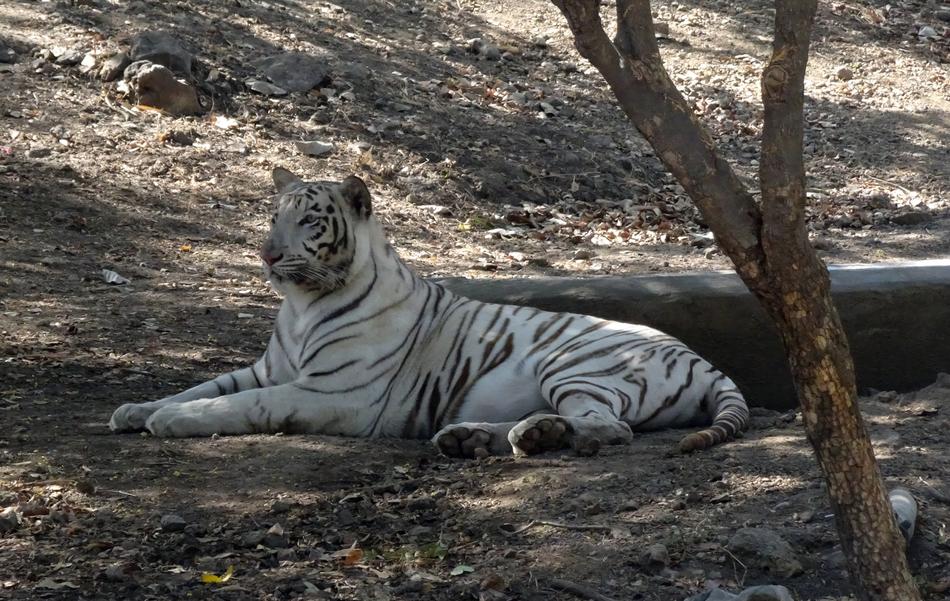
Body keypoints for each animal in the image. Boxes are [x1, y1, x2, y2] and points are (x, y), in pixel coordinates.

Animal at [109, 168, 749, 457]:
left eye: (309, 220)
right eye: (273, 216)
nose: (267, 254)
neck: (302, 305)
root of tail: (704, 361)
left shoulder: (333, 391)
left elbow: (243, 404)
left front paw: (170, 422)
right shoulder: (267, 368)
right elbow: (202, 387)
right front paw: (137, 409)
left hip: (576, 364)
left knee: (607, 427)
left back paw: (530, 436)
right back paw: (474, 437)